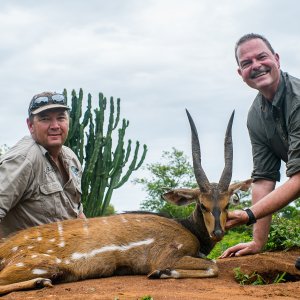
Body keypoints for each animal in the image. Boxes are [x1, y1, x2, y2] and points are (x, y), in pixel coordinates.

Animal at [0, 109, 251, 294]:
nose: (217, 232)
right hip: (42, 264)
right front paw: (162, 273)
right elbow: (212, 266)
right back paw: (40, 282)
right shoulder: (166, 255)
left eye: (228, 204)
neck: (187, 228)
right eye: (202, 204)